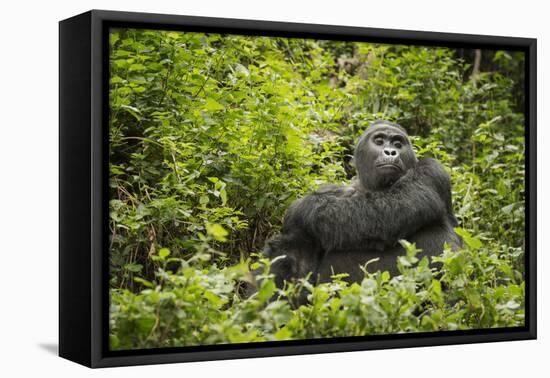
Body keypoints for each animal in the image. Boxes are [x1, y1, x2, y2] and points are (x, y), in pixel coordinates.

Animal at [266, 121, 464, 290]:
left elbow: (393, 210)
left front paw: (302, 209)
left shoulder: (432, 170)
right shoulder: (331, 189)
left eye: (398, 143)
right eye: (379, 141)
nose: (390, 152)